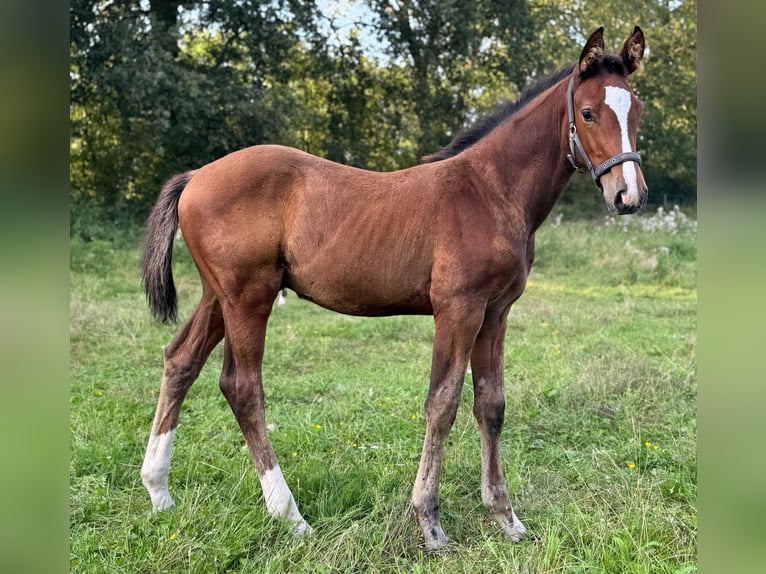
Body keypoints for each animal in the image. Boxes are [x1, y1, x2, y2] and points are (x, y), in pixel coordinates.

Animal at [140, 26, 647, 549]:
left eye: (637, 110)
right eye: (587, 112)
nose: (629, 196)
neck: (490, 190)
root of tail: (196, 176)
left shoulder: (496, 312)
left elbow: (491, 404)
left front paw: (505, 517)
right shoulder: (458, 309)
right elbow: (442, 404)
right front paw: (430, 522)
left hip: (218, 295)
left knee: (180, 360)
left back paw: (159, 492)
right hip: (248, 296)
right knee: (242, 387)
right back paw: (289, 515)